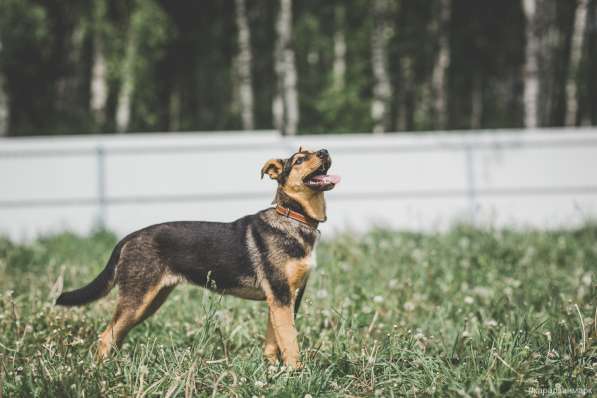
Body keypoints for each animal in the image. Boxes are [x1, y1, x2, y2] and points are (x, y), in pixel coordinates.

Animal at [56, 146, 340, 366]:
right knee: (106, 336)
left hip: (150, 301)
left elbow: (275, 340)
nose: (325, 151)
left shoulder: (283, 298)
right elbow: (290, 341)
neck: (293, 216)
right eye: (300, 160)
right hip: (137, 300)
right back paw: (101, 373)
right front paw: (296, 373)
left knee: (115, 336)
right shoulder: (281, 296)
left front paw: (272, 371)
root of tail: (128, 237)